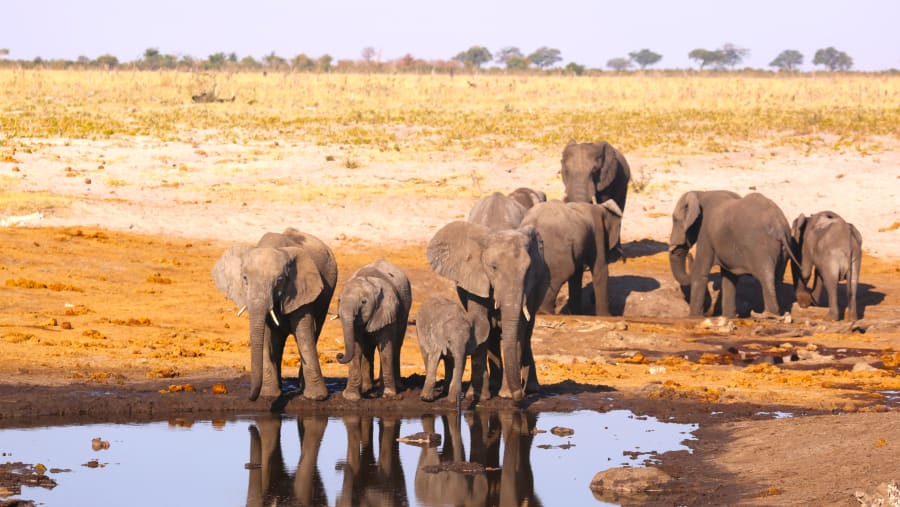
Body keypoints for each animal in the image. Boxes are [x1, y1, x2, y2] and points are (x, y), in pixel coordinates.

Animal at [212, 227, 337, 401]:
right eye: (245, 278)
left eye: (279, 280)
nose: (250, 398)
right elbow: (265, 336)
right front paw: (269, 395)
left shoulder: (301, 289)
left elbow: (304, 333)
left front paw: (317, 397)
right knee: (277, 340)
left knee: (315, 330)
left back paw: (301, 386)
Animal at [336, 259, 412, 400]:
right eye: (339, 300)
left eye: (364, 302)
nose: (339, 355)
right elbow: (356, 347)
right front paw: (351, 397)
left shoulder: (387, 311)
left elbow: (386, 349)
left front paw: (388, 394)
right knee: (368, 348)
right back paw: (368, 388)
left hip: (405, 314)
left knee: (396, 346)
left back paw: (396, 387)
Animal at [427, 221, 549, 401]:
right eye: (494, 267)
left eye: (528, 270)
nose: (519, 395)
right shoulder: (476, 277)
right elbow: (481, 323)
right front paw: (476, 395)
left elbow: (518, 329)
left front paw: (506, 395)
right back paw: (495, 385)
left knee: (527, 333)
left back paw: (530, 388)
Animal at [668, 191, 799, 317]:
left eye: (675, 220)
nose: (689, 255)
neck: (699, 193)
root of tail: (779, 226)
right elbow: (729, 277)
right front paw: (729, 317)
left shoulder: (705, 232)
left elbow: (700, 273)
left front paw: (693, 317)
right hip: (784, 248)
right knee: (777, 278)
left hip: (760, 247)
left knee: (766, 277)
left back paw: (768, 315)